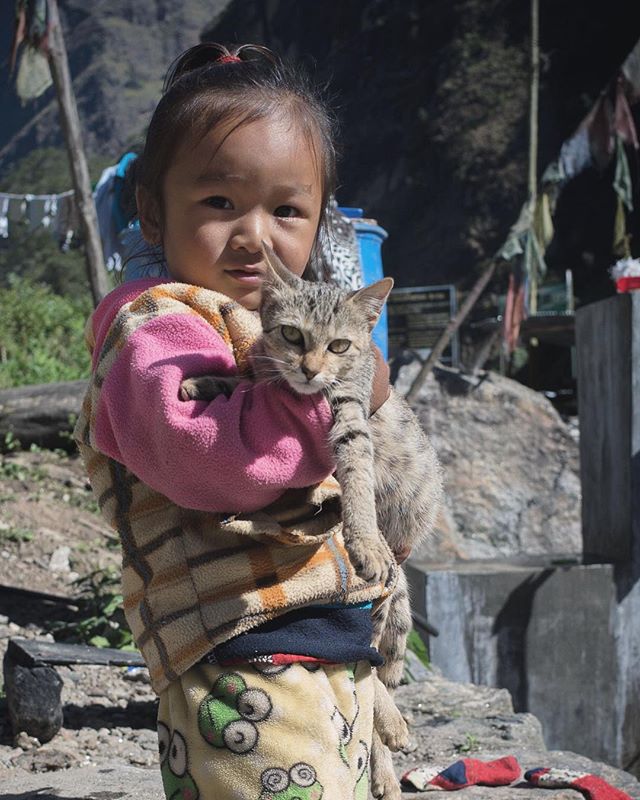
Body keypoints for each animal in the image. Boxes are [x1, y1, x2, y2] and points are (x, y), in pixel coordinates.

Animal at [178, 245, 442, 800]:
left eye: (339, 345)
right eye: (293, 335)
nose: (309, 369)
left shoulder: (352, 415)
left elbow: (358, 479)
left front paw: (364, 538)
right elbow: (250, 379)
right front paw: (204, 380)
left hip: (394, 602)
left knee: (375, 662)